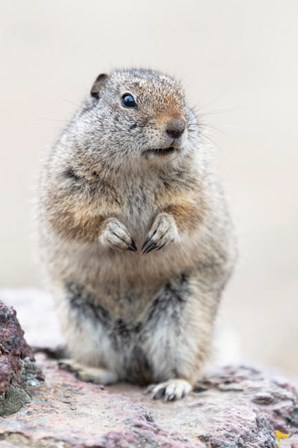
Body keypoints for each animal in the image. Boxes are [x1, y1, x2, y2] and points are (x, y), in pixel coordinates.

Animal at [39, 68, 235, 400]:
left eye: (183, 98)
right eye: (128, 100)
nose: (177, 127)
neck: (139, 168)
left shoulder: (197, 187)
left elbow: (189, 212)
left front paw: (162, 231)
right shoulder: (65, 186)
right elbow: (73, 219)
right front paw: (114, 233)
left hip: (185, 321)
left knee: (185, 368)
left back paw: (172, 386)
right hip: (82, 321)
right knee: (115, 370)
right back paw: (85, 370)